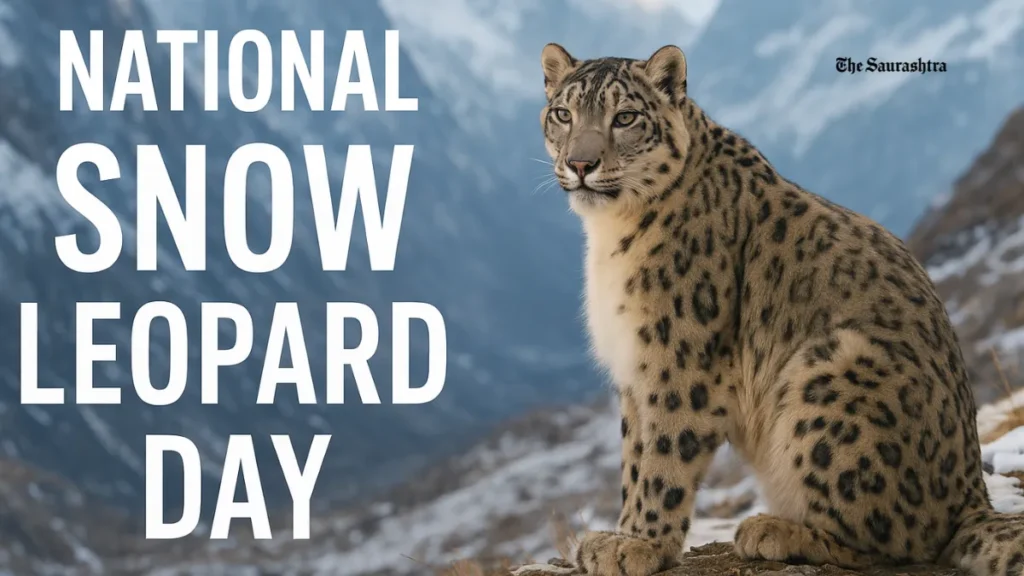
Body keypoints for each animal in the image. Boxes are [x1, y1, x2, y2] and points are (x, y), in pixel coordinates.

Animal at [523, 42, 1024, 576]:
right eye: (563, 114)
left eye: (625, 117)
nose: (581, 163)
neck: (609, 237)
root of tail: (973, 496)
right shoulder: (635, 373)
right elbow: (634, 455)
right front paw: (620, 534)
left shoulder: (677, 362)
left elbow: (662, 458)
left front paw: (639, 545)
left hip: (828, 372)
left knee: (897, 540)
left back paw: (775, 531)